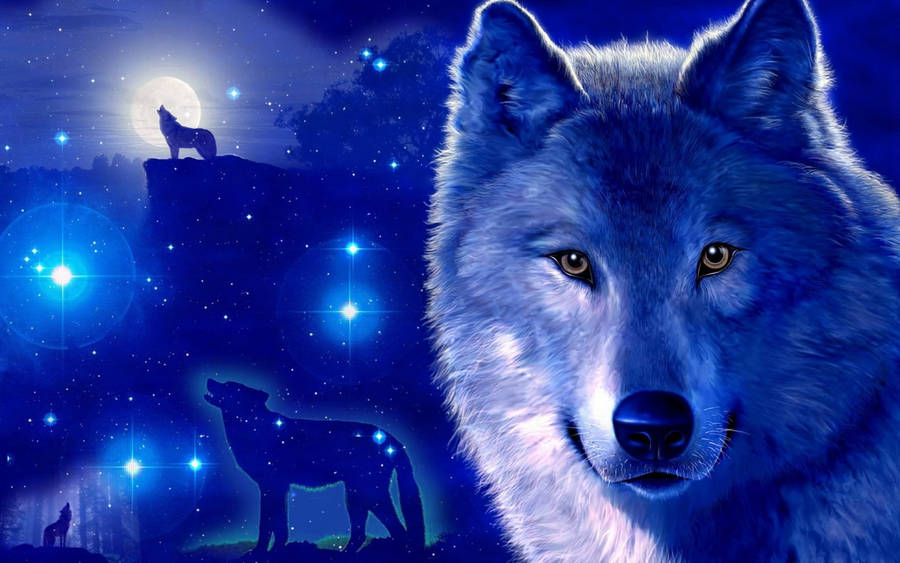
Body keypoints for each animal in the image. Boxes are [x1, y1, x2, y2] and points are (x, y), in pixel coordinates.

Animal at [204, 379, 424, 555]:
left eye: (229, 386)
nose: (209, 380)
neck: (253, 428)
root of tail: (390, 438)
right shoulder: (279, 488)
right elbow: (280, 526)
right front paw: (276, 550)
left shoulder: (270, 486)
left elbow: (266, 525)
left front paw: (259, 552)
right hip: (355, 496)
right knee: (361, 534)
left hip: (369, 494)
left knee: (398, 530)